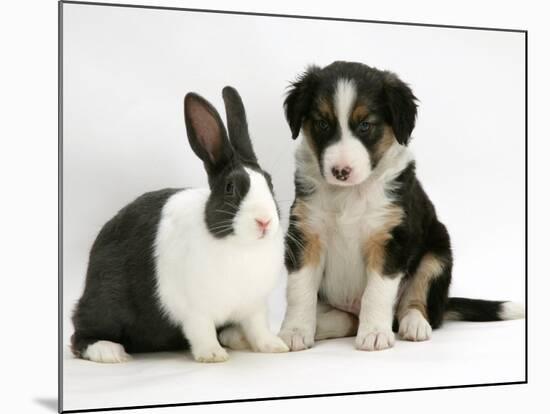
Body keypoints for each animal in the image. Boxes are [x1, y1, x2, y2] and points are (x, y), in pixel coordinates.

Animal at [280, 60, 528, 352]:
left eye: (365, 126)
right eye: (322, 124)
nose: (340, 171)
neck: (350, 194)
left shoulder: (391, 239)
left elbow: (376, 292)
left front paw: (375, 333)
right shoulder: (306, 233)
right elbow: (299, 289)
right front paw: (294, 331)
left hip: (437, 252)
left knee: (413, 305)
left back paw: (414, 325)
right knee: (346, 319)